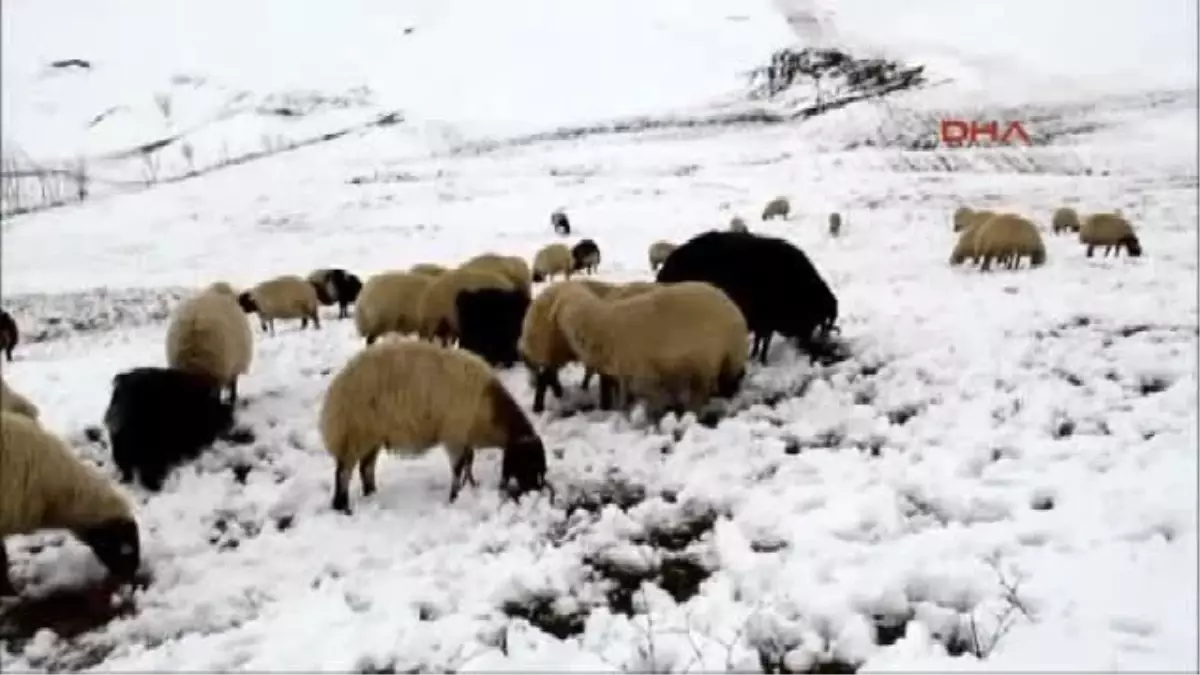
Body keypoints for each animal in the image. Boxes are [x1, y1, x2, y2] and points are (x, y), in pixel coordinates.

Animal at [316, 338, 547, 511]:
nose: (536, 493)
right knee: (344, 472)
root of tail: (336, 389)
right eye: (530, 462)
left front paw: (471, 486)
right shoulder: (454, 434)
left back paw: (371, 494)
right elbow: (458, 467)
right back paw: (342, 506)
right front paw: (454, 496)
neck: (490, 410)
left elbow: (469, 462)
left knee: (366, 467)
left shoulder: (464, 436)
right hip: (355, 433)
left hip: (372, 436)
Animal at [652, 228, 840, 362]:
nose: (807, 346)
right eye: (816, 318)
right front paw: (759, 358)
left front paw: (757, 356)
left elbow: (761, 340)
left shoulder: (765, 320)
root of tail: (664, 272)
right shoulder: (765, 318)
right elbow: (763, 340)